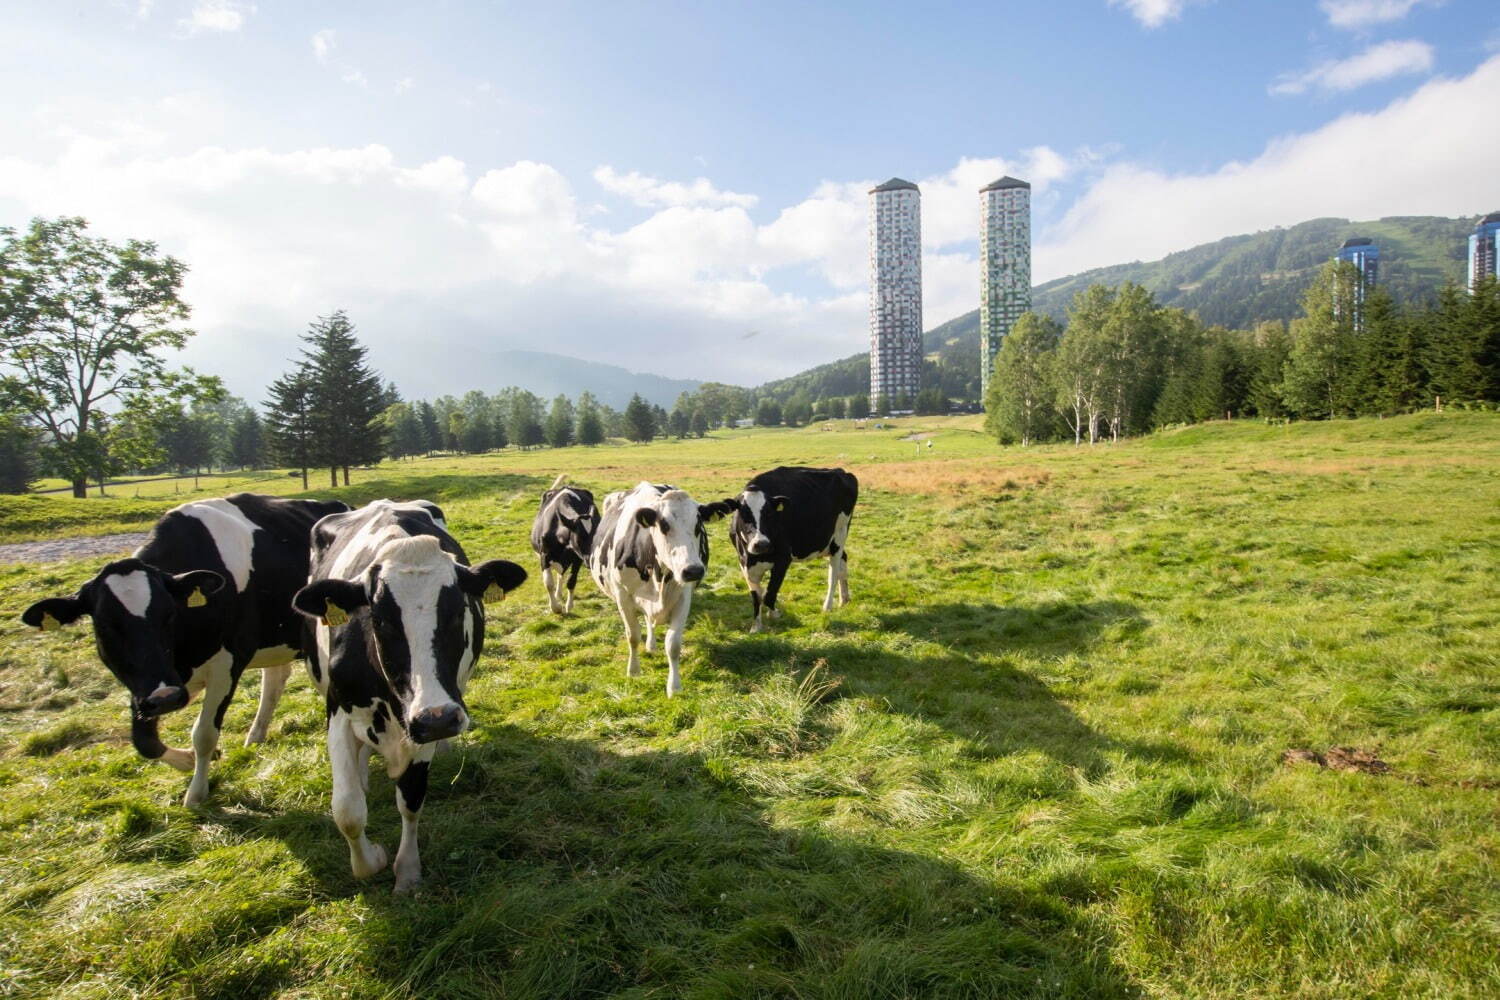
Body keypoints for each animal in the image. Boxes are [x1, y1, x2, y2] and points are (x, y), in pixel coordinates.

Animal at [21, 491, 349, 803]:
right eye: (105, 626)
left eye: (169, 614)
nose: (166, 698)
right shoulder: (145, 685)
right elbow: (143, 740)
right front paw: (187, 761)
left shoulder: (226, 665)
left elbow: (203, 733)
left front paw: (196, 792)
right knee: (275, 678)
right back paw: (255, 735)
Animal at [291, 500, 528, 893]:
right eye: (380, 619)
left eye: (458, 610)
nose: (441, 720)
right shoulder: (340, 712)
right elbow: (348, 809)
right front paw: (371, 859)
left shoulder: (422, 723)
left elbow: (411, 799)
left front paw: (407, 870)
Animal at [528, 473, 597, 614]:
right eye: (580, 538)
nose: (591, 561)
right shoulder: (544, 555)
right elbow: (548, 583)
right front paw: (555, 608)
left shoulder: (577, 558)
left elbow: (571, 581)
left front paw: (568, 606)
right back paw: (557, 595)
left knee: (561, 574)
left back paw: (559, 594)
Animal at [594, 482, 741, 695]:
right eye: (664, 526)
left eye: (698, 526)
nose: (693, 570)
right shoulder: (623, 596)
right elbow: (633, 636)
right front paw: (633, 670)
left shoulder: (683, 597)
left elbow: (673, 644)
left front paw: (674, 686)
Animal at [732, 464, 864, 629]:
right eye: (743, 514)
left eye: (769, 514)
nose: (761, 544)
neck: (755, 557)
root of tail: (840, 470)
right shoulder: (744, 565)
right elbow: (756, 598)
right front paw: (756, 627)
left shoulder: (783, 560)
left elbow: (769, 595)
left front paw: (774, 614)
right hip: (830, 541)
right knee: (843, 561)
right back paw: (844, 599)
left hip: (840, 533)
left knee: (833, 572)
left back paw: (827, 606)